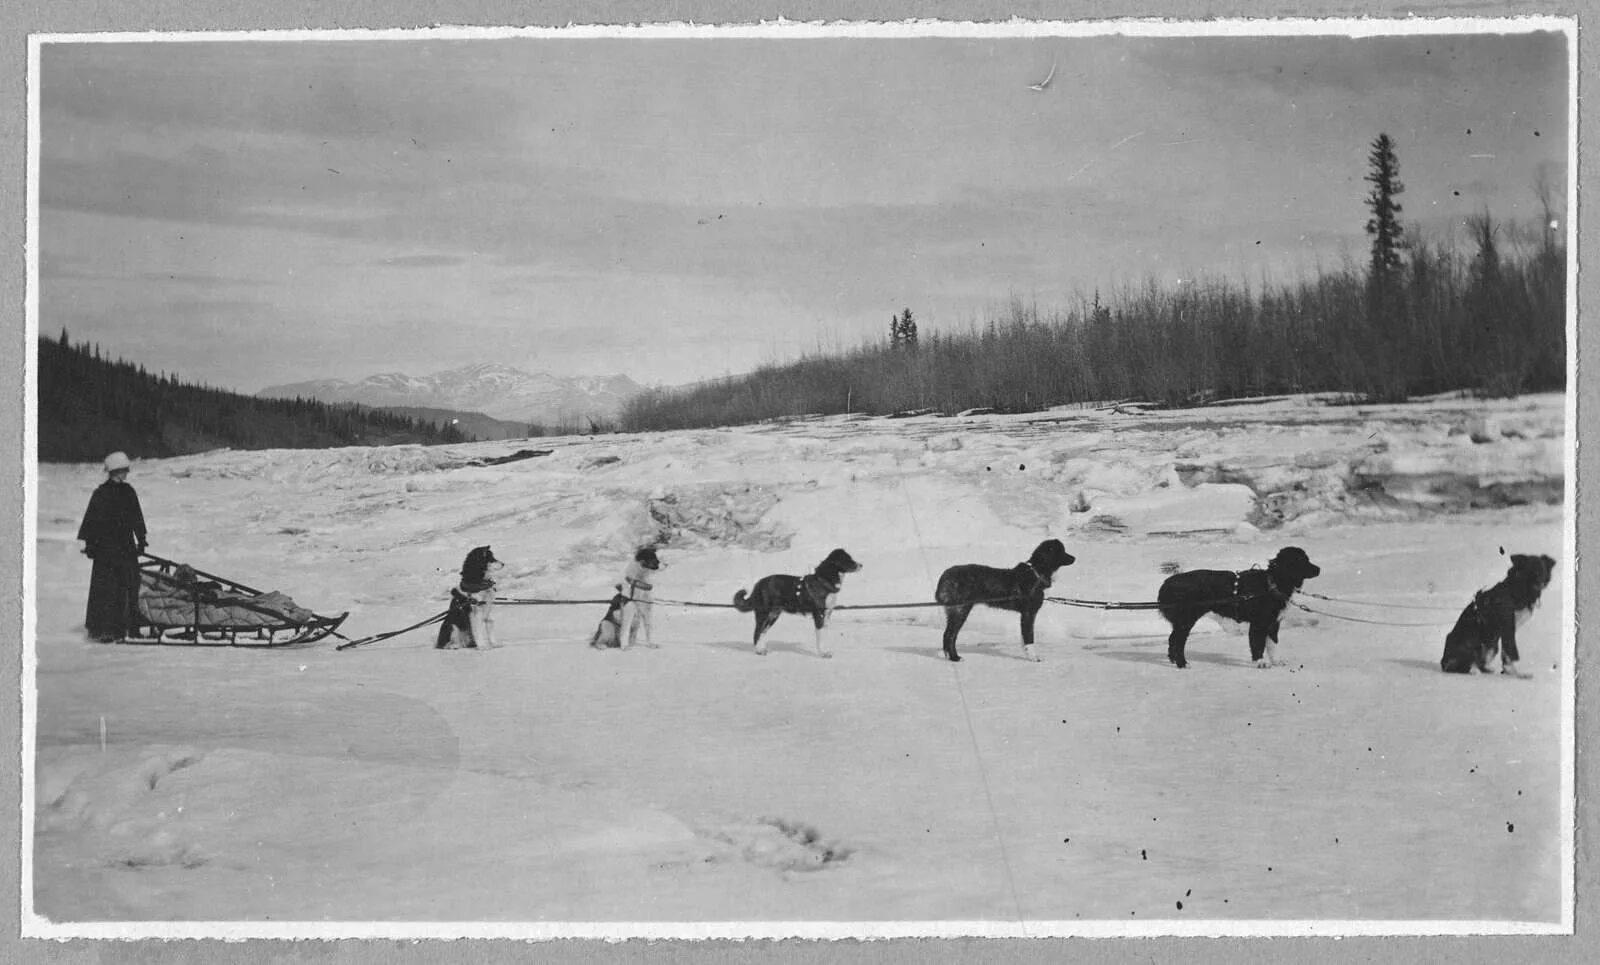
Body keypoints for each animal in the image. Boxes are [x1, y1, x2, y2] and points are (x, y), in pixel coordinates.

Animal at [732, 547, 864, 659]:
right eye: (848, 559)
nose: (861, 565)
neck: (824, 582)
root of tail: (759, 583)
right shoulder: (819, 615)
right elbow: (820, 637)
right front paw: (822, 653)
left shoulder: (826, 615)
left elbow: (823, 636)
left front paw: (825, 651)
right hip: (763, 613)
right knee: (757, 633)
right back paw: (758, 651)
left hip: (773, 615)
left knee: (763, 632)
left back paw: (762, 649)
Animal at [934, 537, 1075, 665]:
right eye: (1062, 551)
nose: (1074, 558)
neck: (1036, 573)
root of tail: (946, 575)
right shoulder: (1029, 613)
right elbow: (1029, 637)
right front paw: (1034, 657)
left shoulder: (1025, 615)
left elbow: (1024, 638)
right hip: (961, 610)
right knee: (950, 635)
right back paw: (955, 658)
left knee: (947, 635)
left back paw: (950, 657)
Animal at [1158, 547, 1318, 668]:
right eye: (1301, 560)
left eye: (1307, 559)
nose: (1319, 569)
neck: (1271, 584)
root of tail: (1167, 582)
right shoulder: (1259, 624)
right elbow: (1258, 645)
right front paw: (1260, 662)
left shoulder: (1273, 623)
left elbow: (1272, 645)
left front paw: (1276, 661)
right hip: (1186, 620)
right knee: (1178, 642)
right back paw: (1182, 663)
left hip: (1181, 622)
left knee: (1172, 639)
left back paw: (1174, 660)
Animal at [1446, 550, 1555, 678]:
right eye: (1529, 570)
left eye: (1542, 570)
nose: (1539, 583)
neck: (1517, 590)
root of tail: (1443, 661)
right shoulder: (1508, 626)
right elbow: (1511, 651)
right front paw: (1517, 673)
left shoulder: (1508, 630)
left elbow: (1506, 653)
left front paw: (1509, 671)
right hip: (1472, 642)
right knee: (1459, 665)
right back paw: (1473, 670)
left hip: (1492, 644)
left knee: (1481, 662)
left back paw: (1485, 669)